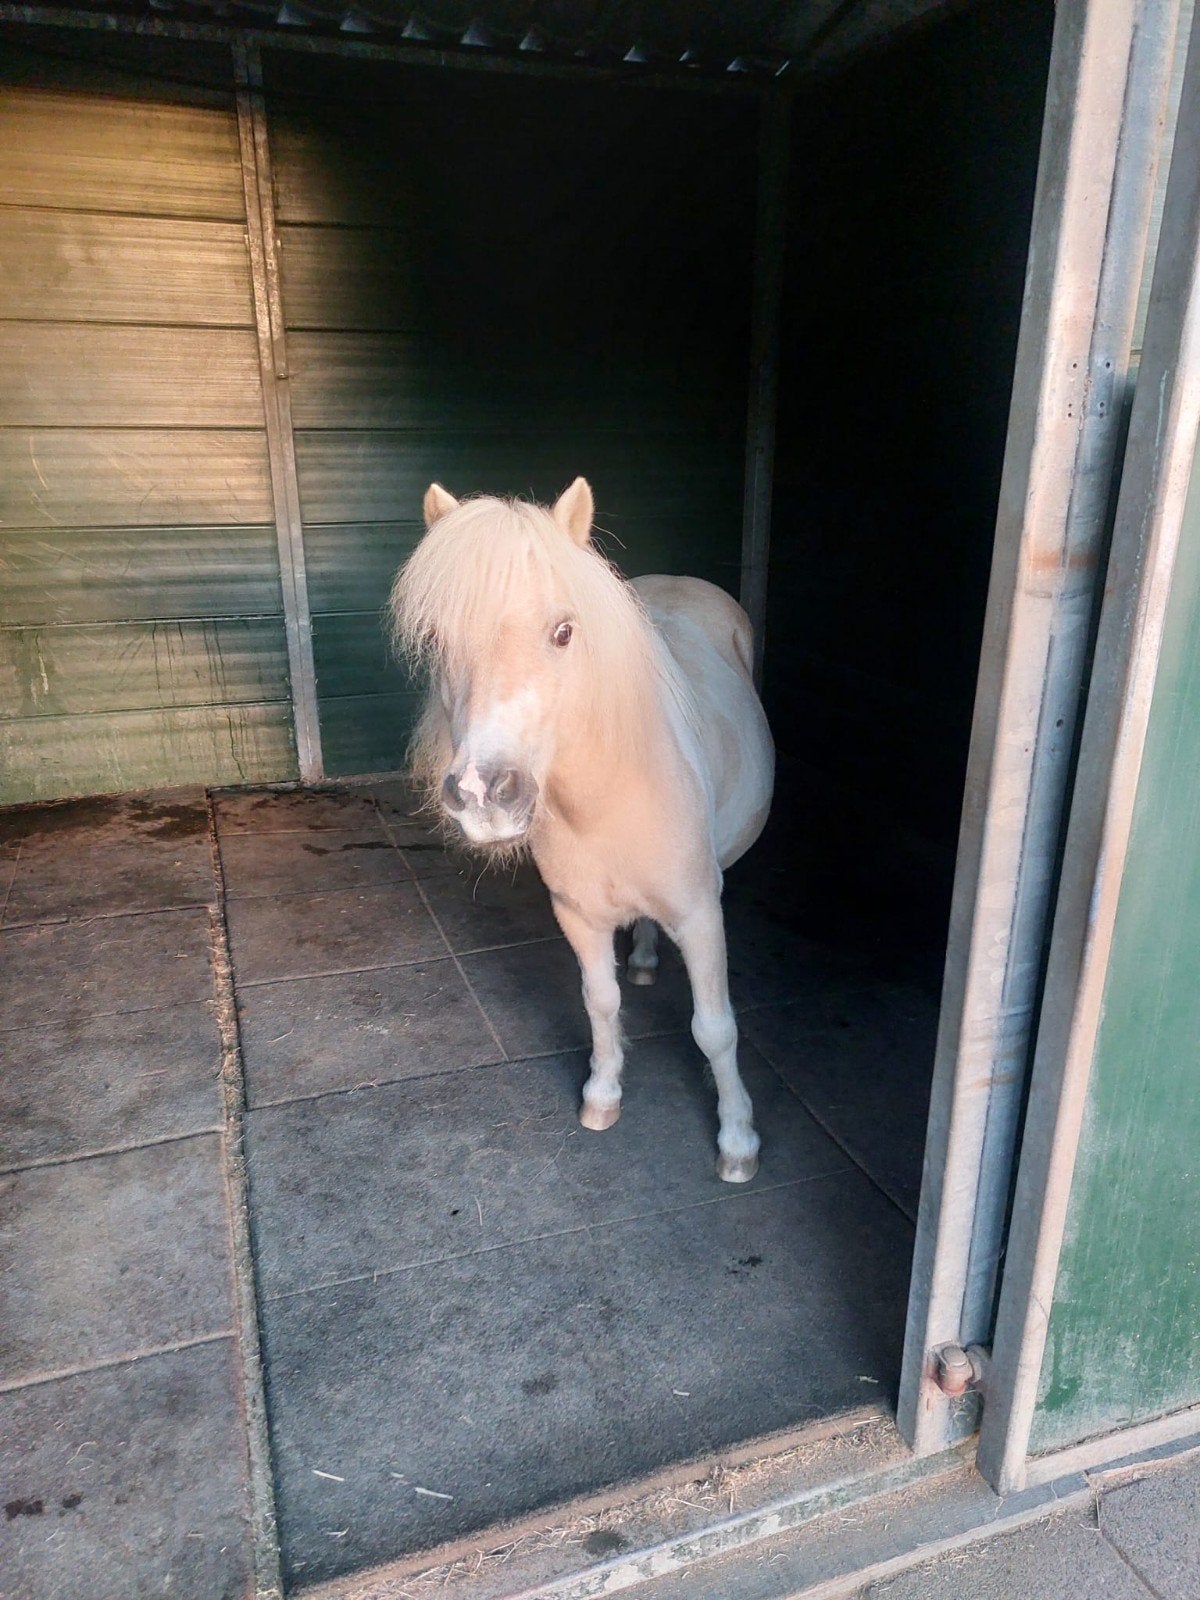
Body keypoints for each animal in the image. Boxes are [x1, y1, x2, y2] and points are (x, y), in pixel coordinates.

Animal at [392, 477, 775, 1181]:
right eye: (433, 639)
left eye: (564, 632)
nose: (484, 795)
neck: (608, 799)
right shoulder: (577, 915)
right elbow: (601, 1001)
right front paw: (602, 1095)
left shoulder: (701, 913)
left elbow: (715, 1027)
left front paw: (737, 1140)